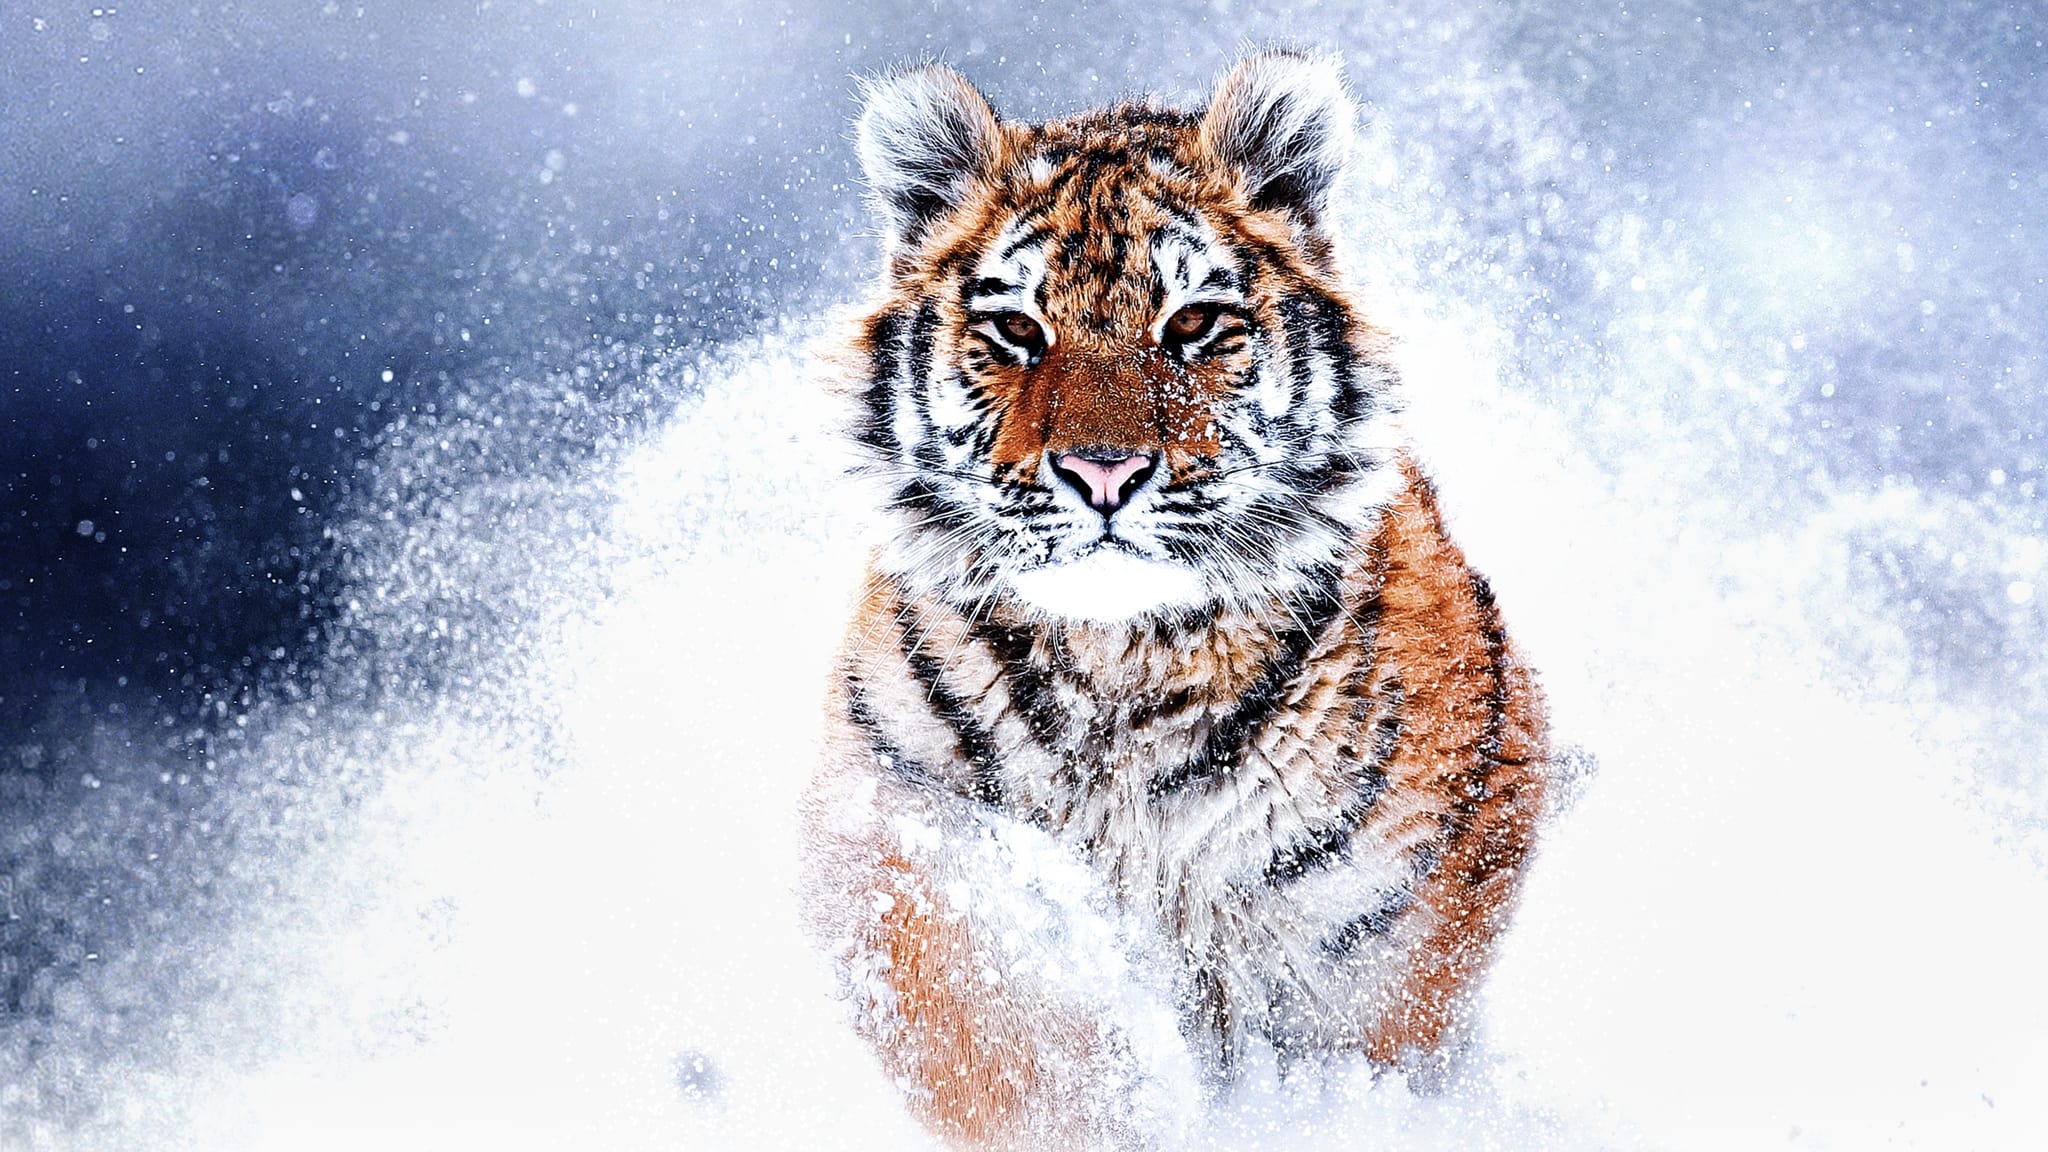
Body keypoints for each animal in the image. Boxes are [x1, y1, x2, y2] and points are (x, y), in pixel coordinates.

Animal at [798, 50, 1552, 1151]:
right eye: (1016, 329)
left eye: (1192, 323)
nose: (1102, 471)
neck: (1122, 662)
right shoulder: (895, 826)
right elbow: (992, 1029)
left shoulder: (1379, 930)